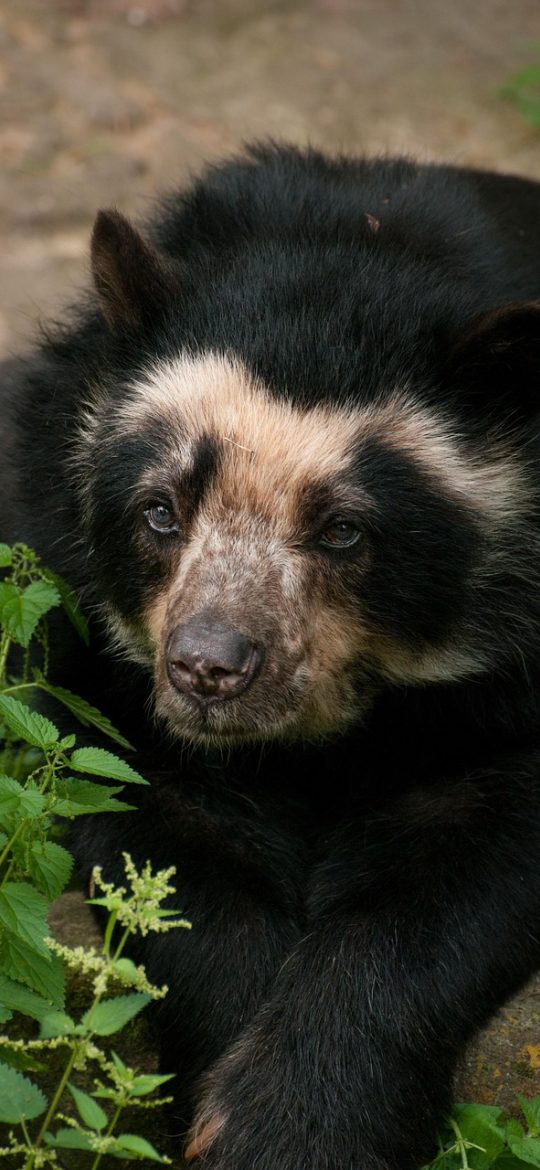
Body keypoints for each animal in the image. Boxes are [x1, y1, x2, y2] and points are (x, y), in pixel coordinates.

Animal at [1, 142, 540, 1170]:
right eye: (160, 510)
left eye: (343, 531)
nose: (208, 668)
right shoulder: (66, 595)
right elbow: (163, 837)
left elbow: (449, 878)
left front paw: (299, 1123)